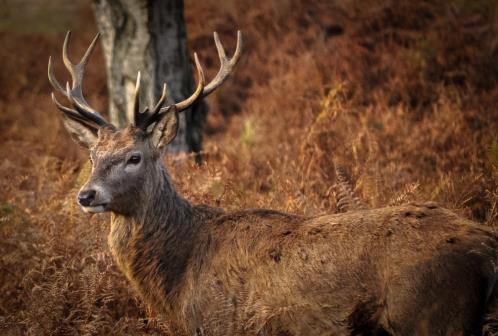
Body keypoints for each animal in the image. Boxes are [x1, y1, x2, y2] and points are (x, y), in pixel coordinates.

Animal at [47, 30, 498, 334]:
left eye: (134, 157)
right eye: (92, 157)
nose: (86, 195)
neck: (178, 284)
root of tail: (486, 250)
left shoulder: (222, 324)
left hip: (432, 315)